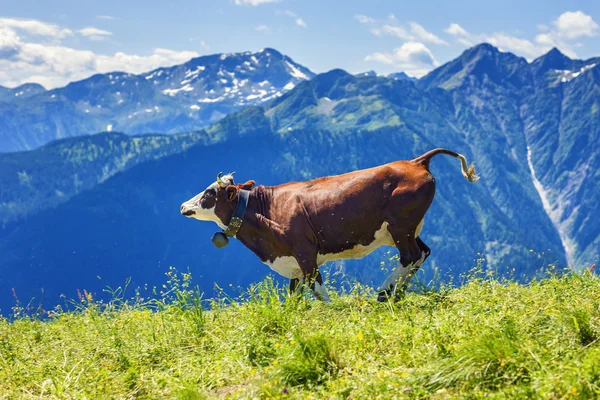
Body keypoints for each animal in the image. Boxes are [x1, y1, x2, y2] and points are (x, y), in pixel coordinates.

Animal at [180, 148, 480, 302]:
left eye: (209, 193)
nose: (183, 206)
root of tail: (415, 161)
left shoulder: (305, 252)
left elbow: (317, 288)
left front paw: (330, 310)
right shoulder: (292, 261)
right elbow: (294, 295)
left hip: (401, 226)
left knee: (410, 255)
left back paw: (385, 292)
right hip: (407, 228)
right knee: (422, 253)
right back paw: (397, 292)